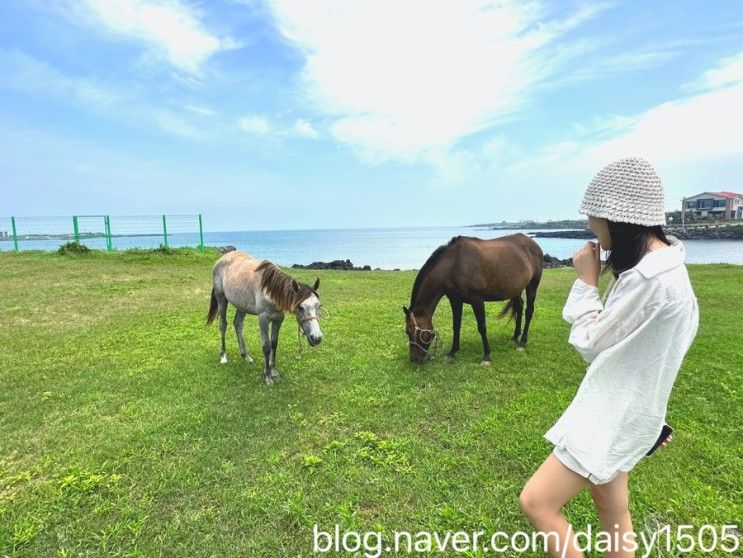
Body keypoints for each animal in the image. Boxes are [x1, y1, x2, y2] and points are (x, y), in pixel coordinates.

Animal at [206, 252, 322, 388]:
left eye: (318, 306)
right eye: (300, 307)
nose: (316, 337)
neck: (271, 291)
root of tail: (222, 258)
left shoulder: (278, 320)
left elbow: (274, 344)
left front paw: (273, 371)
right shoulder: (263, 319)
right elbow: (266, 346)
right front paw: (267, 376)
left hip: (241, 306)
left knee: (238, 324)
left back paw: (246, 356)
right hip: (221, 299)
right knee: (223, 325)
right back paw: (223, 356)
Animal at [404, 236, 544, 368]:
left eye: (410, 332)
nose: (414, 359)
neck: (455, 264)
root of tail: (534, 245)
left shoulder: (477, 300)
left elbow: (482, 327)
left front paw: (487, 356)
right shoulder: (455, 300)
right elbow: (456, 325)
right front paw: (452, 352)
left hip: (532, 285)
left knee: (529, 311)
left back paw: (522, 343)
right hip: (515, 289)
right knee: (519, 307)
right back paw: (515, 337)